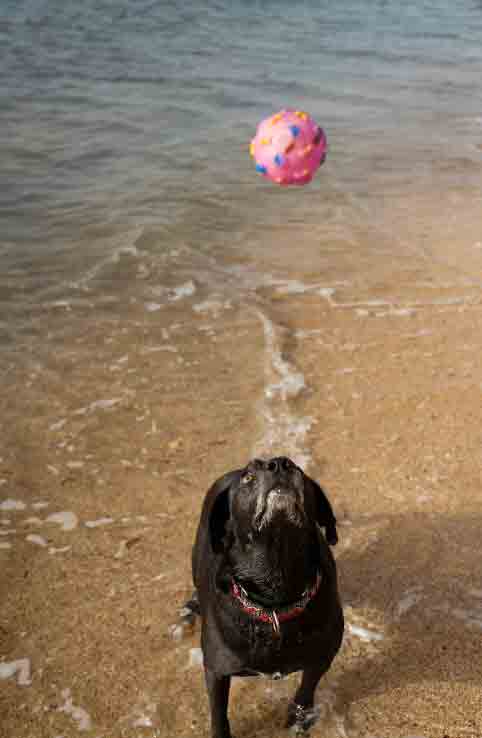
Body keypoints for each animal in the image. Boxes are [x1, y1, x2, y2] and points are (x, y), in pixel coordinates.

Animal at [184, 454, 342, 736]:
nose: (279, 464)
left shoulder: (324, 654)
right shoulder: (216, 670)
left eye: (298, 469)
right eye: (248, 478)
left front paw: (298, 718)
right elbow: (218, 713)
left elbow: (306, 688)